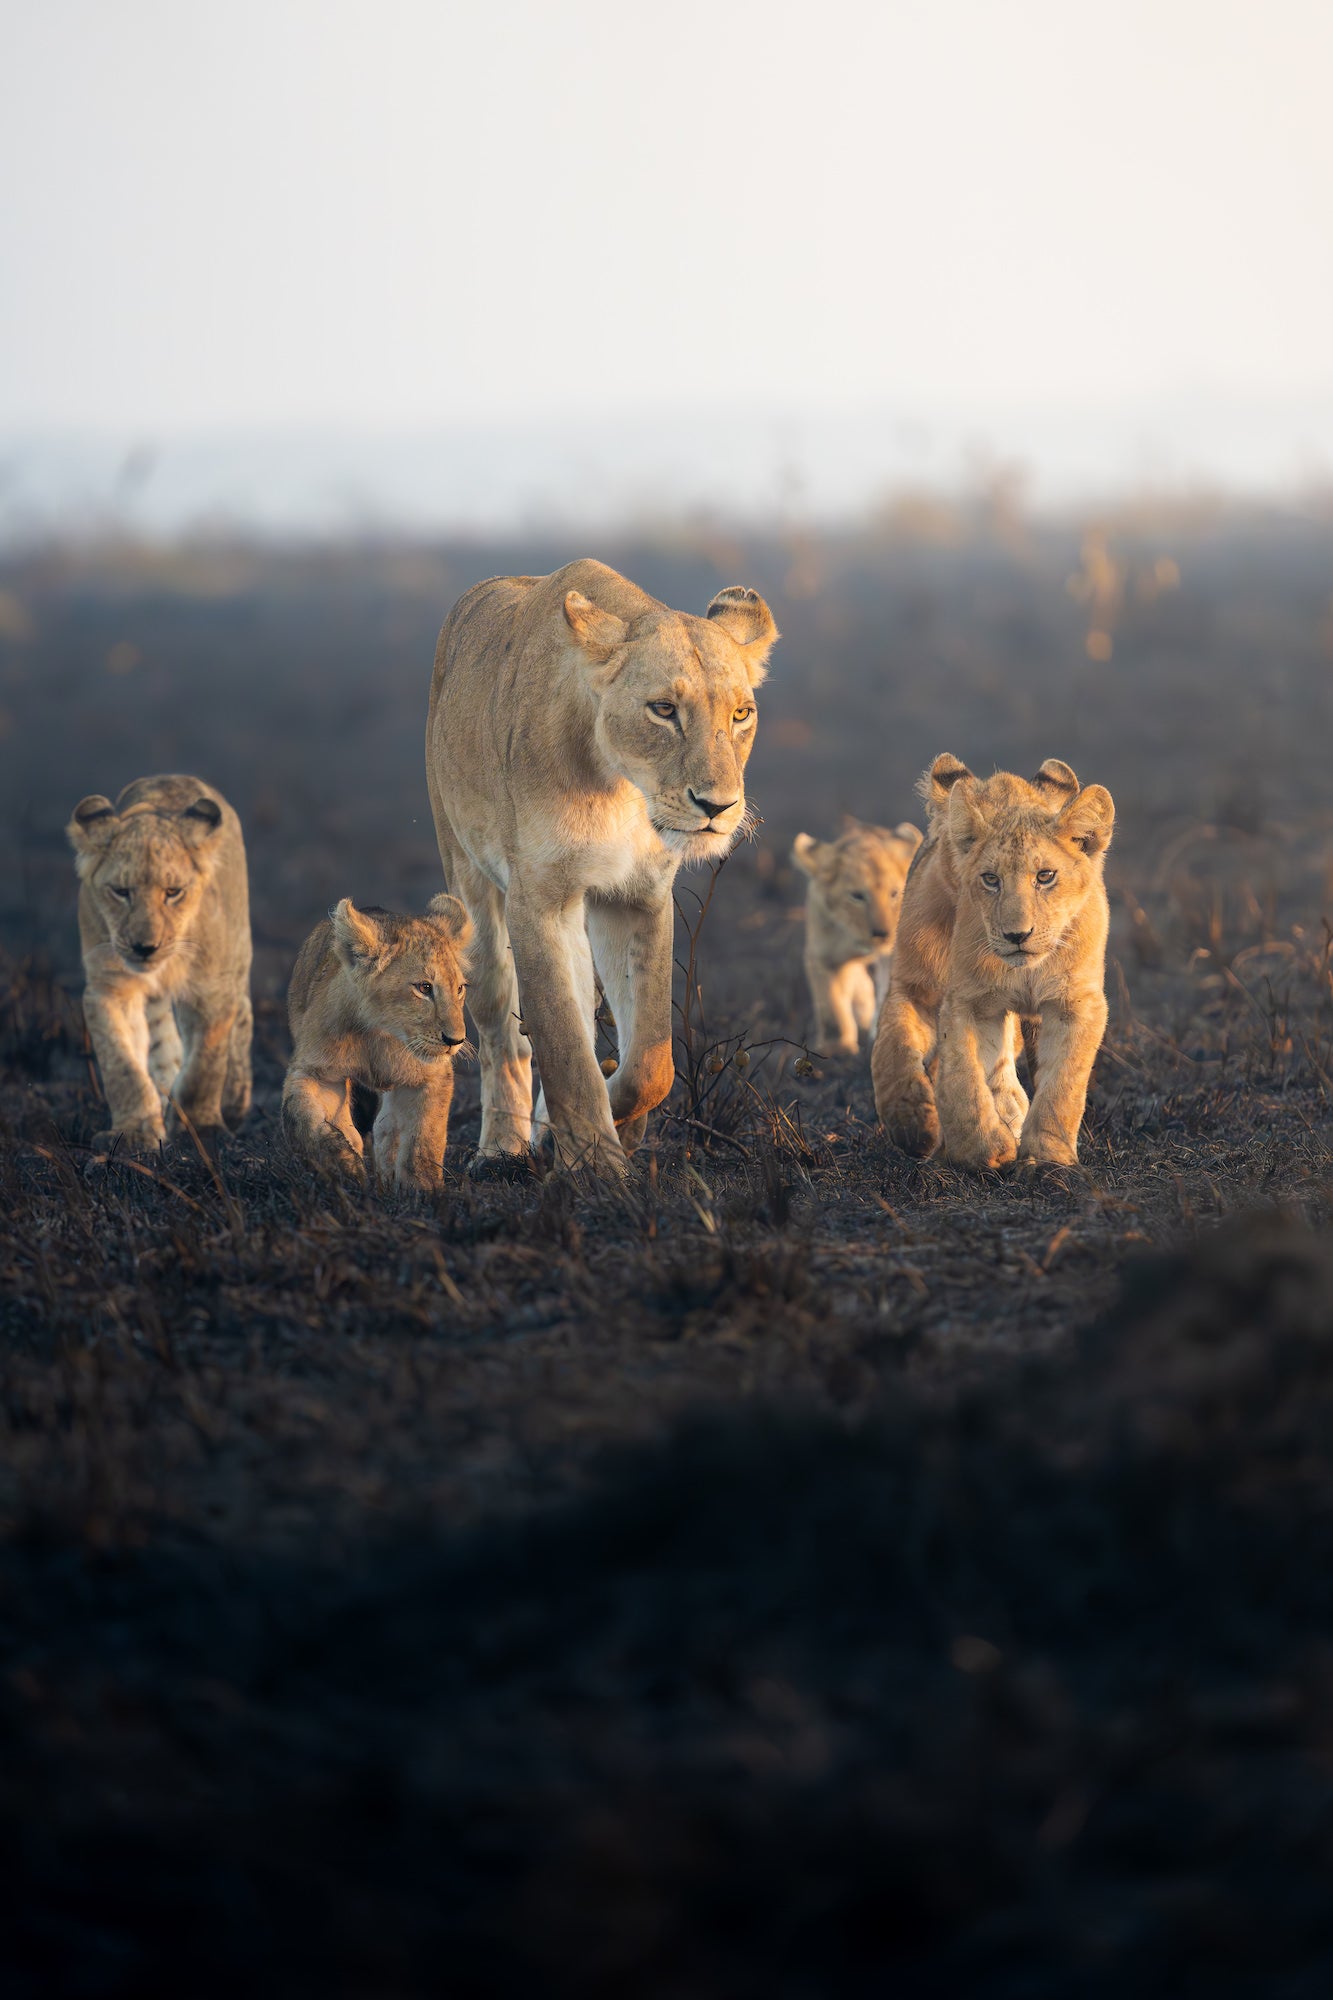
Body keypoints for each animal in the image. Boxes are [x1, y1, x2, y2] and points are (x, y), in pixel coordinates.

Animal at [67, 775, 252, 1152]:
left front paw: (202, 1127)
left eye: (173, 892)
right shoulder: (109, 988)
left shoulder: (211, 989)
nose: (144, 947)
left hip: (238, 955)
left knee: (241, 1016)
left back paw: (235, 1101)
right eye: (121, 891)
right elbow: (122, 1065)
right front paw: (134, 1132)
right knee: (164, 1043)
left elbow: (205, 1065)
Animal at [282, 895, 473, 1190]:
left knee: (386, 1127)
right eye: (424, 988)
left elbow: (424, 1138)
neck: (379, 1034)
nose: (456, 1040)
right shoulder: (317, 1071)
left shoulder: (431, 1076)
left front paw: (423, 1190)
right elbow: (302, 1118)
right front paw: (344, 1168)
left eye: (460, 989)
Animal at [426, 559, 778, 1177]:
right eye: (663, 710)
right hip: (466, 872)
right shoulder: (539, 899)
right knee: (501, 1030)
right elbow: (564, 1046)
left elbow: (651, 1061)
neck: (621, 787)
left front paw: (614, 1127)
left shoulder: (637, 896)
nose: (717, 806)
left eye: (741, 713)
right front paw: (594, 1161)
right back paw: (502, 1145)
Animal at [792, 817, 922, 1053]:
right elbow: (830, 1005)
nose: (882, 934)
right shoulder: (823, 954)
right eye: (857, 896)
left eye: (894, 893)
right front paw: (837, 1048)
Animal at [871, 754, 1114, 1169]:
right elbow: (932, 1064)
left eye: (1045, 876)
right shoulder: (944, 995)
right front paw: (938, 1133)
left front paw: (1046, 1158)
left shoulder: (1075, 1002)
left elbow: (1063, 1082)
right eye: (990, 878)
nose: (1017, 935)